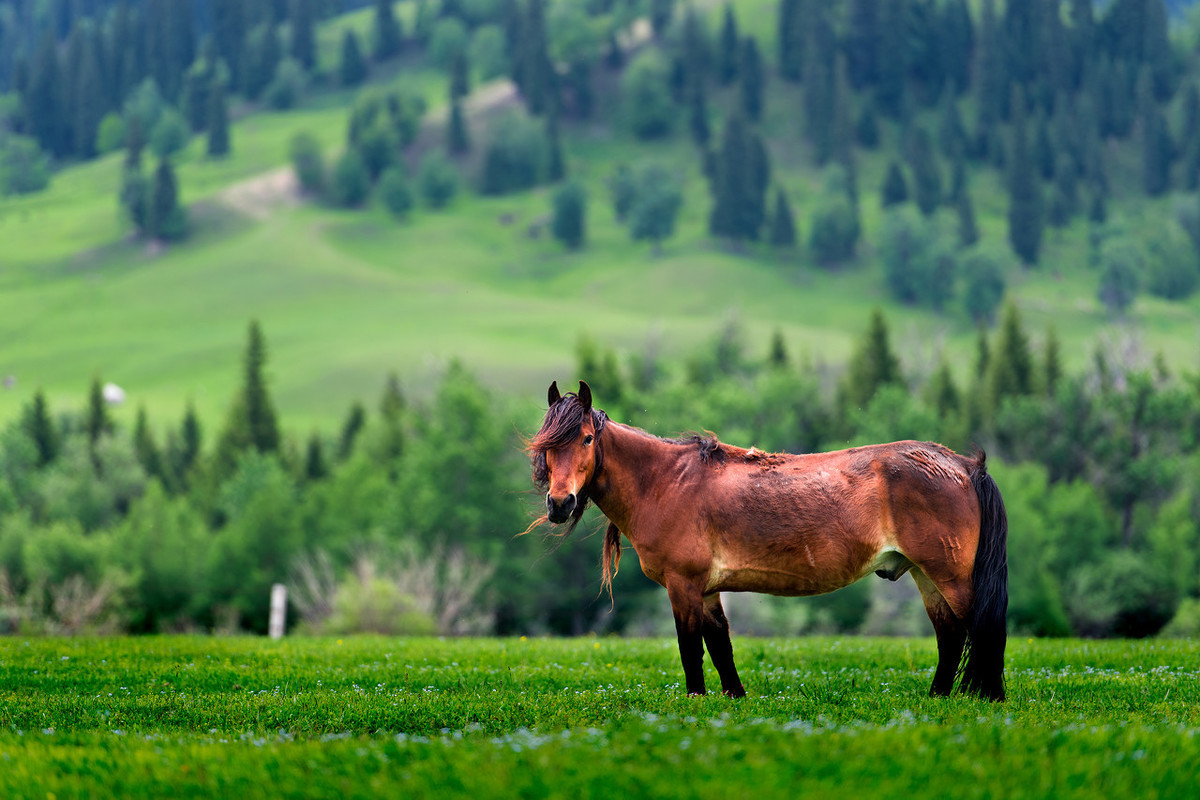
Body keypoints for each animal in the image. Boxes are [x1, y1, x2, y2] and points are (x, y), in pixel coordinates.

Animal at [530, 381, 1008, 700]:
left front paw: (696, 702)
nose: (559, 503)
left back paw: (990, 698)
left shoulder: (684, 586)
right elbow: (720, 648)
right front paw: (734, 700)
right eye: (545, 446)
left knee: (982, 629)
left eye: (586, 439)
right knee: (950, 636)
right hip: (927, 577)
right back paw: (937, 698)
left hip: (951, 578)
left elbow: (691, 649)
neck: (665, 481)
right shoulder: (707, 591)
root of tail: (963, 466)